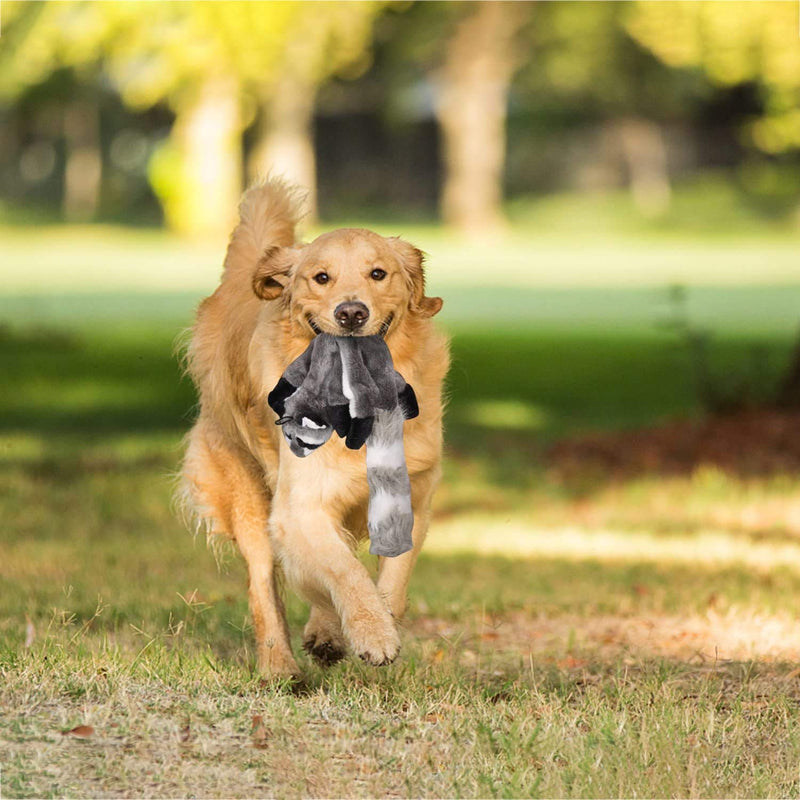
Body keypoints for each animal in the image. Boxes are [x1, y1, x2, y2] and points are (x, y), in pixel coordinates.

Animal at [177, 180, 446, 676]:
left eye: (378, 273)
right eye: (321, 278)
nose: (351, 312)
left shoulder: (413, 491)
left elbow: (391, 577)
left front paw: (376, 617)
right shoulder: (299, 505)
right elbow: (344, 571)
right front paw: (373, 632)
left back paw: (324, 633)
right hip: (246, 491)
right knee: (264, 580)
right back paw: (279, 665)